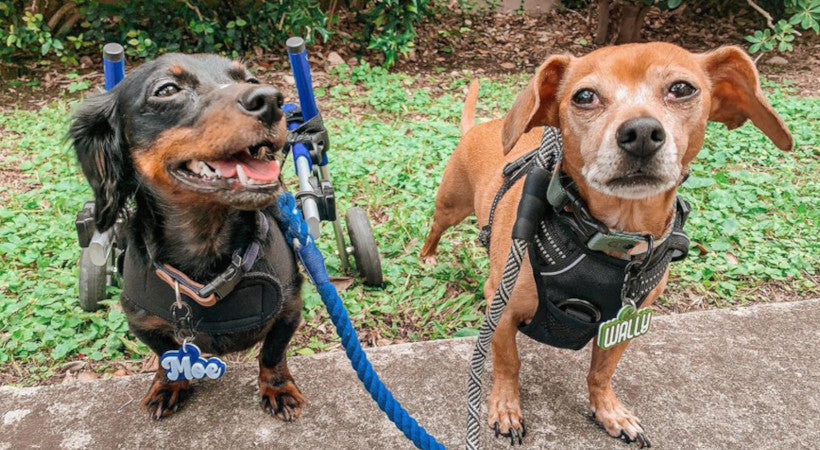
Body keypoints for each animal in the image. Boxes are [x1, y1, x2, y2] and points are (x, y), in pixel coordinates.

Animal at [420, 44, 792, 444]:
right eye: (584, 96)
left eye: (681, 89)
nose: (641, 131)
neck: (608, 238)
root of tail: (482, 126)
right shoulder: (499, 308)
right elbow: (508, 363)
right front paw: (505, 408)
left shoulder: (623, 322)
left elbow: (601, 372)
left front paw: (608, 411)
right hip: (450, 206)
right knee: (435, 229)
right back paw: (428, 257)